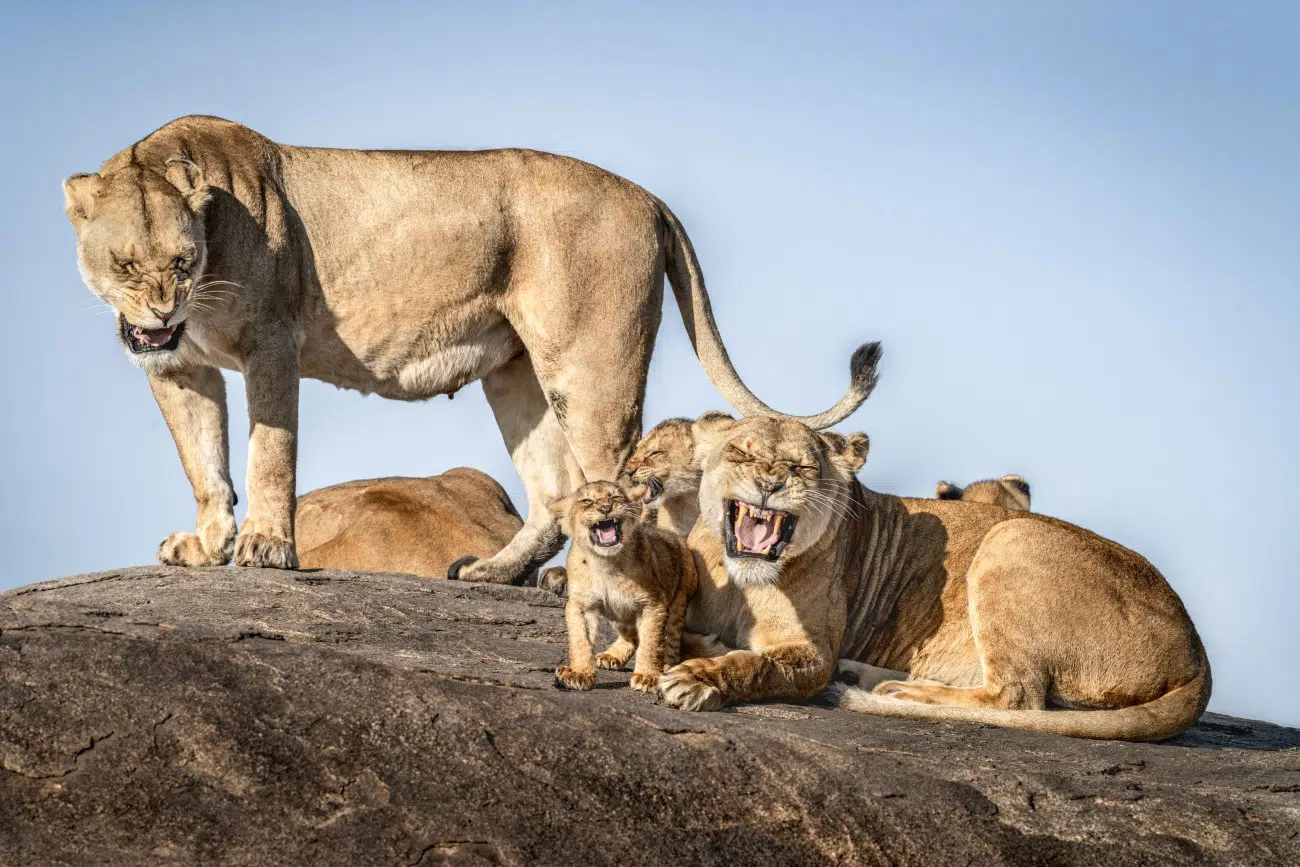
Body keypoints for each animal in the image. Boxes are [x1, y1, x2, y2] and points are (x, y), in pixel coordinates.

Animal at [549, 481, 697, 694]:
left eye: (616, 497)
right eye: (586, 500)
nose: (605, 508)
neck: (606, 563)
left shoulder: (653, 603)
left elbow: (651, 642)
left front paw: (648, 677)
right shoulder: (580, 604)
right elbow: (580, 640)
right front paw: (579, 673)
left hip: (679, 598)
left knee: (671, 639)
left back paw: (666, 667)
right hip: (619, 613)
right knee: (632, 635)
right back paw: (613, 656)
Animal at [657, 415, 1211, 742]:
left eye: (802, 467)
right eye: (741, 454)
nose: (770, 483)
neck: (743, 581)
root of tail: (1199, 656)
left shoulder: (812, 653)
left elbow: (757, 664)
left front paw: (698, 677)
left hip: (1010, 537)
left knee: (1016, 696)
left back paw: (899, 695)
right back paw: (863, 677)